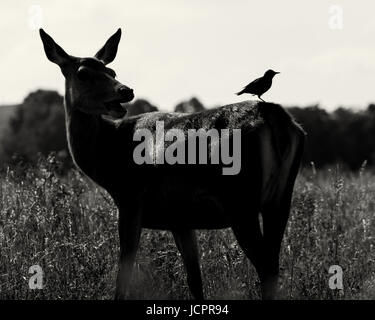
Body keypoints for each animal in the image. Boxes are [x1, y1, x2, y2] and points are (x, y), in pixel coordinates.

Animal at [40, 27, 306, 300]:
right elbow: (195, 281)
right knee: (273, 261)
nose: (125, 90)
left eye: (111, 71)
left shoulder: (131, 201)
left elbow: (123, 278)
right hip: (280, 198)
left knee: (266, 267)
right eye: (83, 73)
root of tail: (278, 120)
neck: (109, 160)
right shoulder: (180, 219)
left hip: (241, 201)